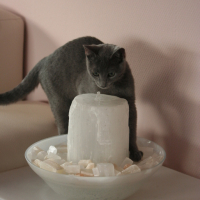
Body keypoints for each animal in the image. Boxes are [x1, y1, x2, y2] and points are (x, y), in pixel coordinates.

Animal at [0, 35, 144, 161]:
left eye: (111, 73)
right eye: (95, 73)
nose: (102, 84)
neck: (112, 90)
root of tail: (45, 59)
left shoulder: (131, 103)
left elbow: (132, 131)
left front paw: (135, 153)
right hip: (59, 102)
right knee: (62, 125)